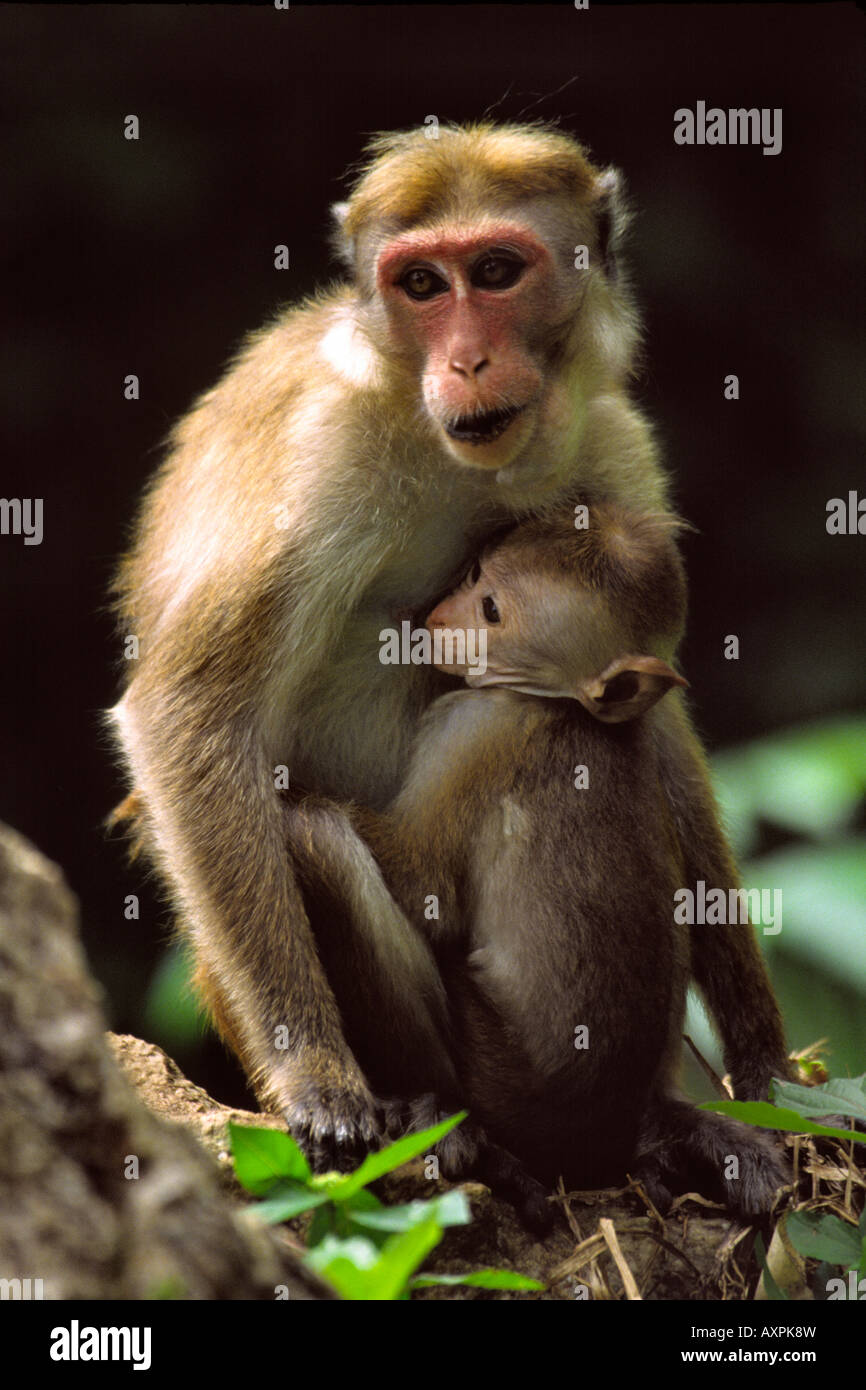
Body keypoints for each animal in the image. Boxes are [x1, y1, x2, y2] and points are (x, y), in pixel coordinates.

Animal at [289, 501, 788, 1221]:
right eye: (475, 573)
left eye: (492, 611)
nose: (442, 618)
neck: (557, 704)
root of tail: (609, 1136)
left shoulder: (473, 729)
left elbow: (422, 888)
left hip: (494, 1077)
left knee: (320, 842)